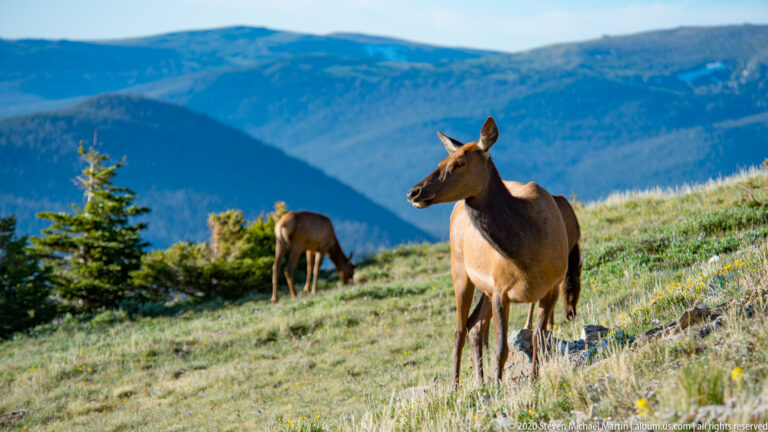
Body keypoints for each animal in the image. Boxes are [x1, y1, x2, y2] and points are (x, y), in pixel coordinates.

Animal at [407, 117, 581, 388]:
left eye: (459, 163)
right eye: (440, 163)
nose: (413, 192)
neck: (527, 255)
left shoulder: (552, 287)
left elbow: (538, 337)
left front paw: (533, 380)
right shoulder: (501, 290)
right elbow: (501, 348)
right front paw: (499, 387)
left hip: (485, 288)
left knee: (474, 325)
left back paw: (480, 382)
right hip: (460, 271)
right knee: (459, 329)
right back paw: (455, 387)